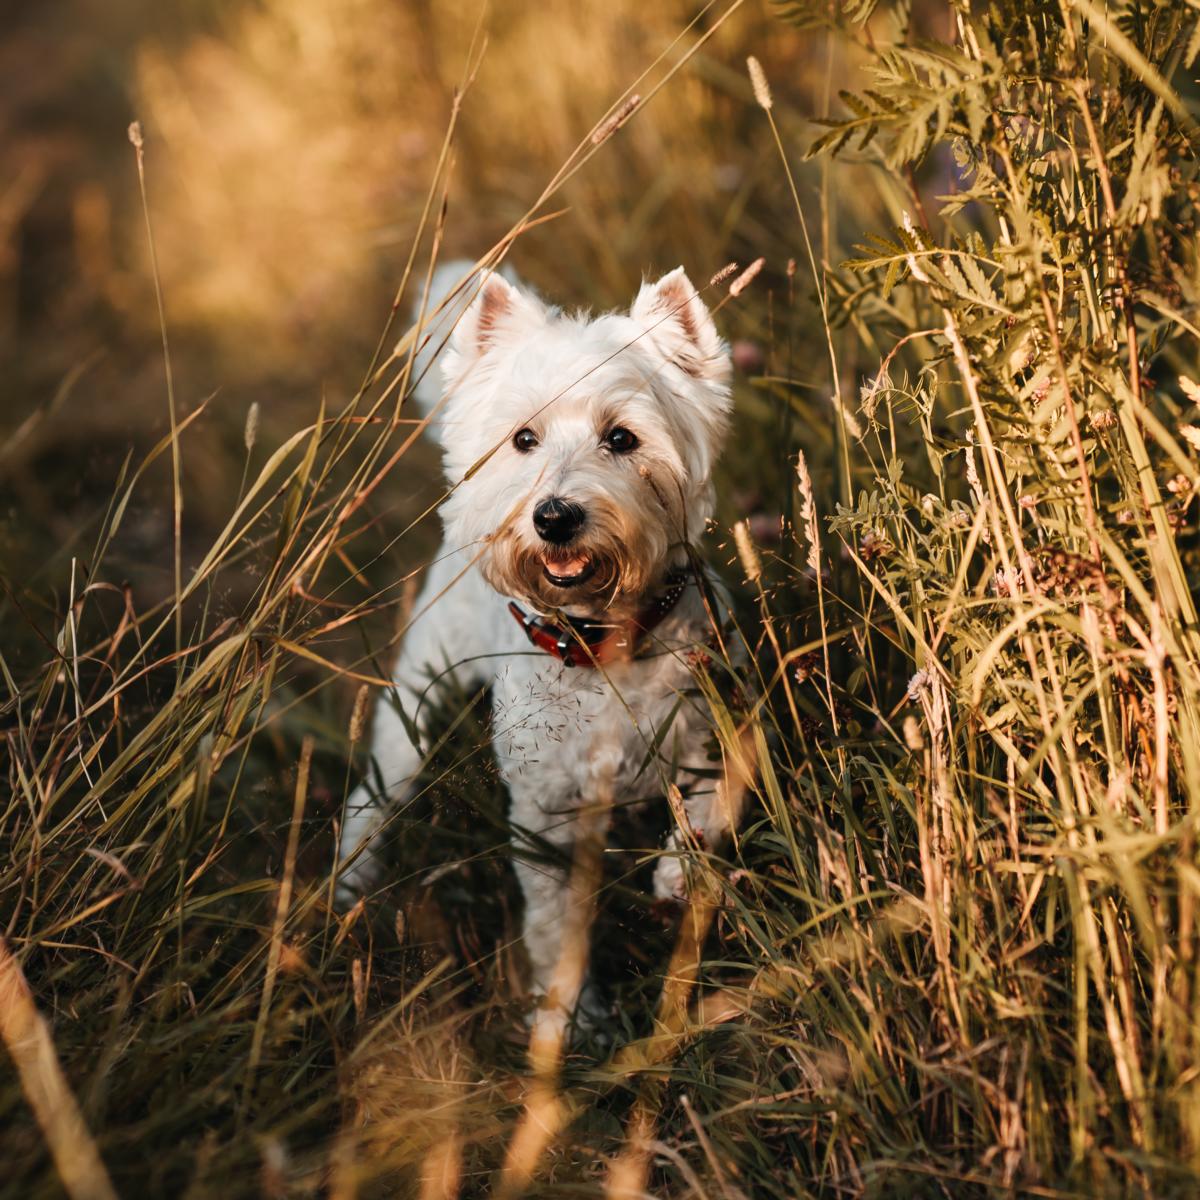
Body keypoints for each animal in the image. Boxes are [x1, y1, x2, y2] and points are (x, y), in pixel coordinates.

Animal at [338, 262, 744, 1022]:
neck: (603, 645)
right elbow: (556, 927)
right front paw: (571, 1016)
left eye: (623, 439)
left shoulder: (718, 724)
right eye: (523, 439)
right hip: (415, 700)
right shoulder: (543, 814)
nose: (555, 517)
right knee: (374, 796)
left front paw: (678, 877)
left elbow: (708, 808)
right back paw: (350, 884)